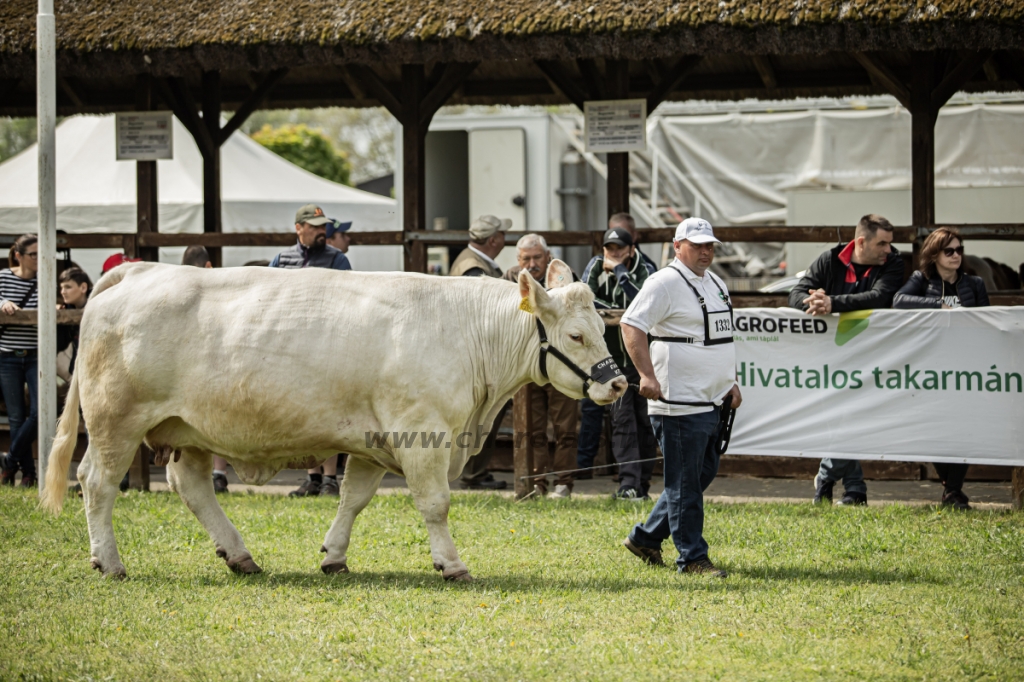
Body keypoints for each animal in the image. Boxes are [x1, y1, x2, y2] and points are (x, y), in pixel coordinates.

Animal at [41, 260, 622, 577]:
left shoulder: (374, 442)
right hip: (117, 422)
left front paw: (333, 556)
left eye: (602, 325)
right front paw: (452, 563)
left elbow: (353, 498)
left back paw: (239, 555)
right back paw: (109, 561)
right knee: (97, 483)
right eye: (575, 335)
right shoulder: (423, 435)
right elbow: (435, 504)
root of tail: (138, 269)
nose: (617, 382)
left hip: (190, 430)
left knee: (192, 486)